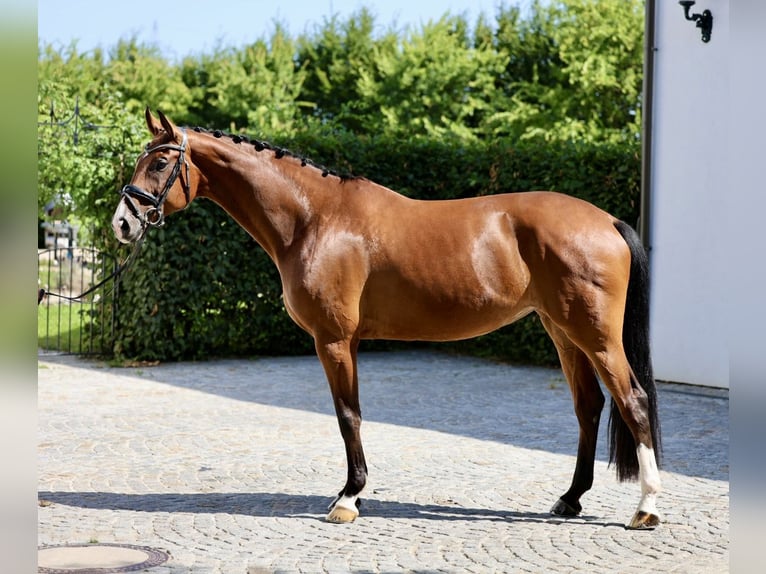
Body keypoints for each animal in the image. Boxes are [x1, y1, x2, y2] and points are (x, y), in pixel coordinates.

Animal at [111, 108, 664, 532]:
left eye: (159, 161)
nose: (122, 223)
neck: (314, 219)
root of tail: (606, 220)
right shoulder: (346, 342)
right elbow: (351, 414)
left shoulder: (334, 340)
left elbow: (347, 416)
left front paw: (348, 499)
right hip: (563, 332)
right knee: (589, 407)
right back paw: (570, 499)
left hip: (595, 336)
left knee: (633, 401)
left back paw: (646, 508)